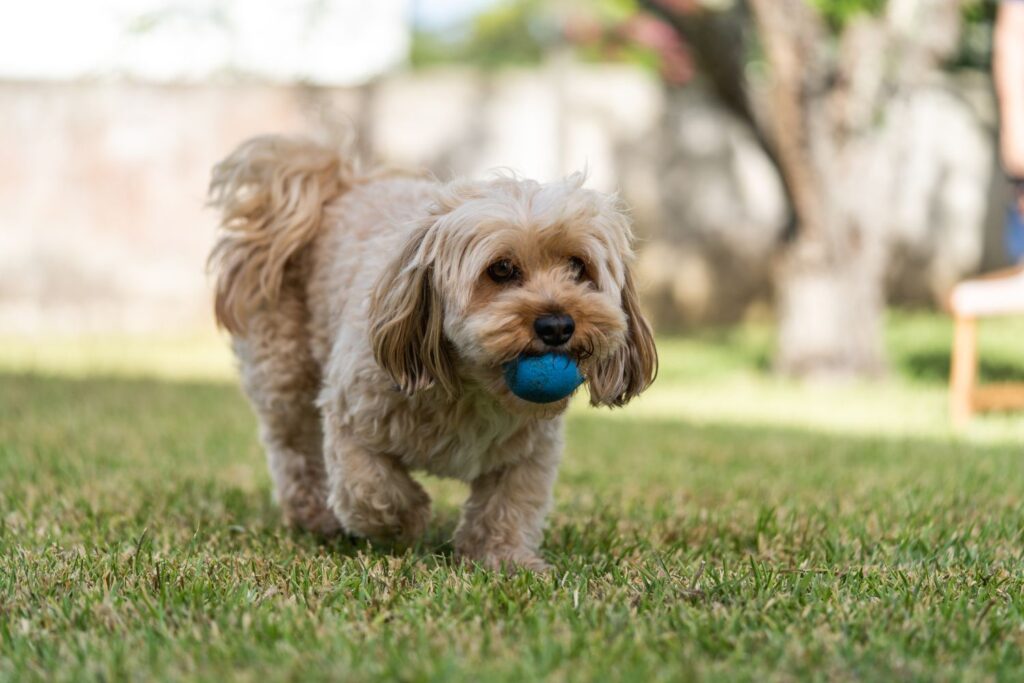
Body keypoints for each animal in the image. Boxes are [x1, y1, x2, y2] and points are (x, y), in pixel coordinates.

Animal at [207, 135, 655, 573]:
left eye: (578, 266)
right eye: (501, 269)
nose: (558, 325)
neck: (472, 389)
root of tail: (338, 185)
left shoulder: (531, 453)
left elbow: (510, 503)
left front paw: (505, 559)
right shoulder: (351, 415)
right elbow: (371, 486)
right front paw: (408, 521)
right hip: (286, 374)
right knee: (294, 447)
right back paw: (315, 516)